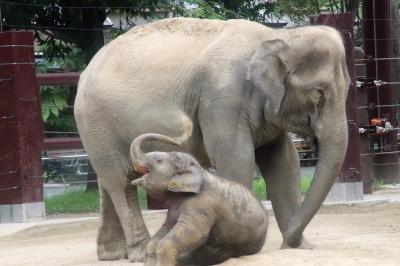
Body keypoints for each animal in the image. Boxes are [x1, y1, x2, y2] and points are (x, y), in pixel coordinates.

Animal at [131, 133, 268, 266]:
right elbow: (164, 230)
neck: (200, 170)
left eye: (157, 159)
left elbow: (194, 233)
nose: (177, 141)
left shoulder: (202, 205)